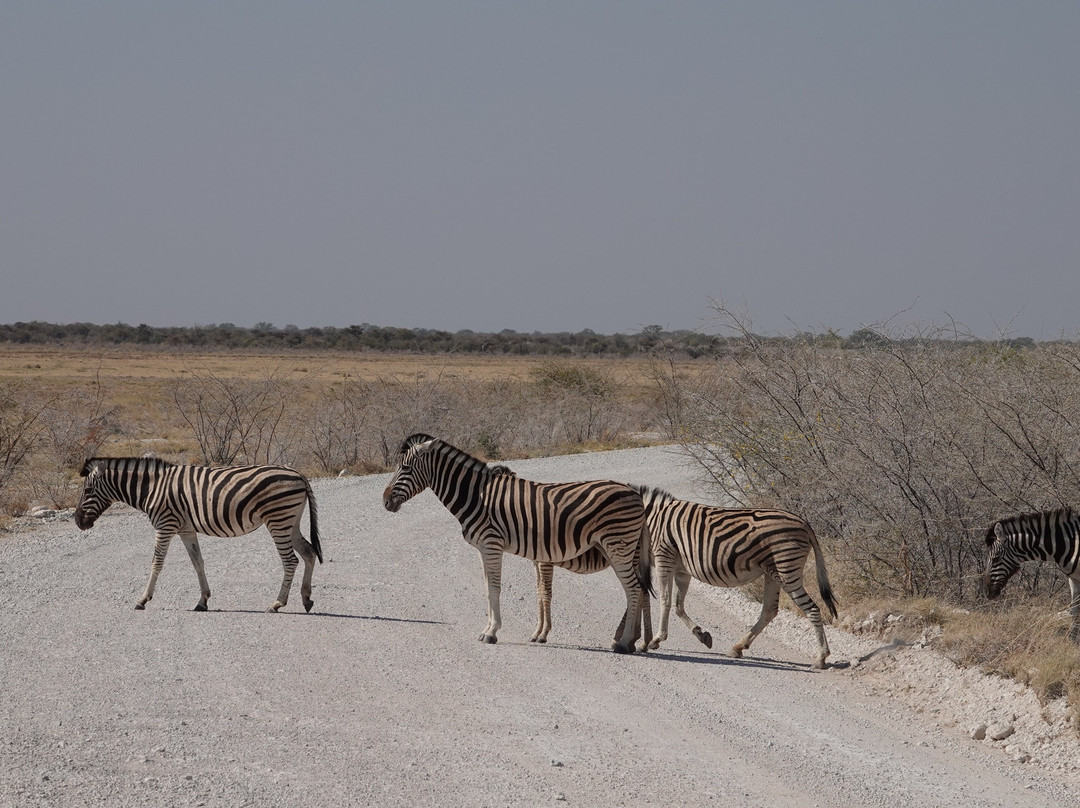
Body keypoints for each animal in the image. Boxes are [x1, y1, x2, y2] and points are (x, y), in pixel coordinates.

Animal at [73, 453, 319, 613]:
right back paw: (306, 599)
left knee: (290, 561)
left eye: (88, 490)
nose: (77, 521)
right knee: (309, 552)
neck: (152, 488)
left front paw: (142, 599)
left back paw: (277, 604)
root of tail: (299, 474)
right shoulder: (186, 530)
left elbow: (156, 563)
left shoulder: (165, 525)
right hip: (290, 520)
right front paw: (203, 601)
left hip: (278, 519)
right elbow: (197, 562)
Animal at [380, 432, 648, 652]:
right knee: (637, 589)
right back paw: (630, 642)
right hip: (616, 548)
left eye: (405, 467)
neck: (475, 496)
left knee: (634, 589)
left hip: (618, 546)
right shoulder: (483, 548)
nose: (385, 502)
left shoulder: (491, 544)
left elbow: (494, 588)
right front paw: (488, 629)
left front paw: (491, 632)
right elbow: (487, 588)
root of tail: (636, 494)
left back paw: (624, 643)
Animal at [984, 507, 1080, 639]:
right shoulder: (1073, 579)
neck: (1069, 545)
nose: (987, 593)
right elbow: (1074, 611)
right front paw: (1073, 639)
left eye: (996, 558)